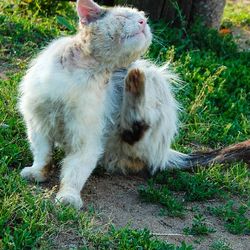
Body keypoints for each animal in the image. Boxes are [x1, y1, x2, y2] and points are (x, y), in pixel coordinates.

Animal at [19, 0, 152, 209]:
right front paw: (37, 172)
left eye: (144, 18)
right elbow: (42, 154)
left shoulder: (86, 137)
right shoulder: (38, 122)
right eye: (122, 17)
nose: (143, 22)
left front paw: (68, 197)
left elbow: (75, 171)